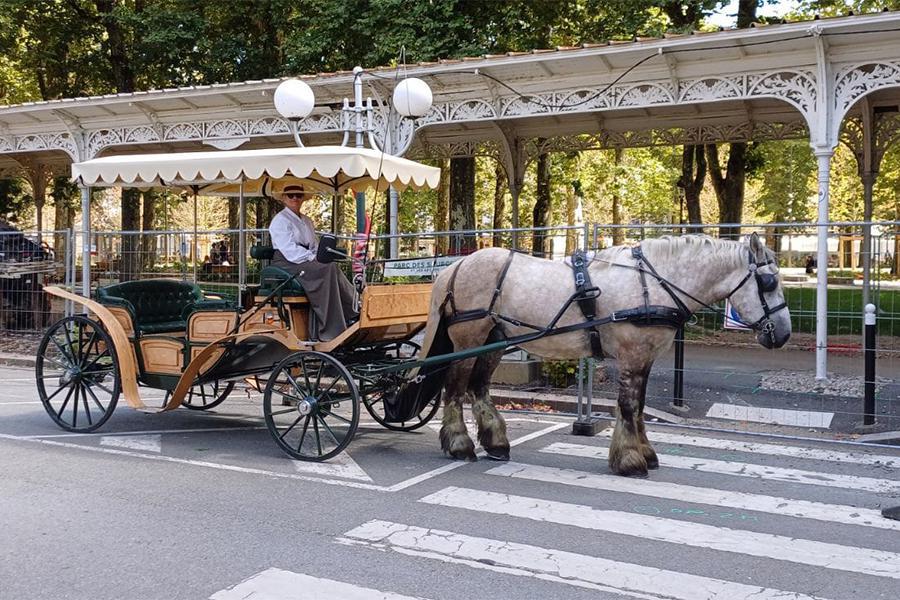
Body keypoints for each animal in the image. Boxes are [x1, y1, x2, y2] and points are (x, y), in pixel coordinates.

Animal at [398, 234, 792, 478]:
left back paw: (496, 443)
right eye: (769, 282)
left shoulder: (645, 357)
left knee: (478, 388)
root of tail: (454, 267)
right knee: (454, 388)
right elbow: (630, 406)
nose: (784, 334)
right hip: (469, 339)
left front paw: (644, 452)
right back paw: (460, 445)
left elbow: (638, 405)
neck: (653, 283)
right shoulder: (633, 354)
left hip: (496, 340)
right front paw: (631, 460)